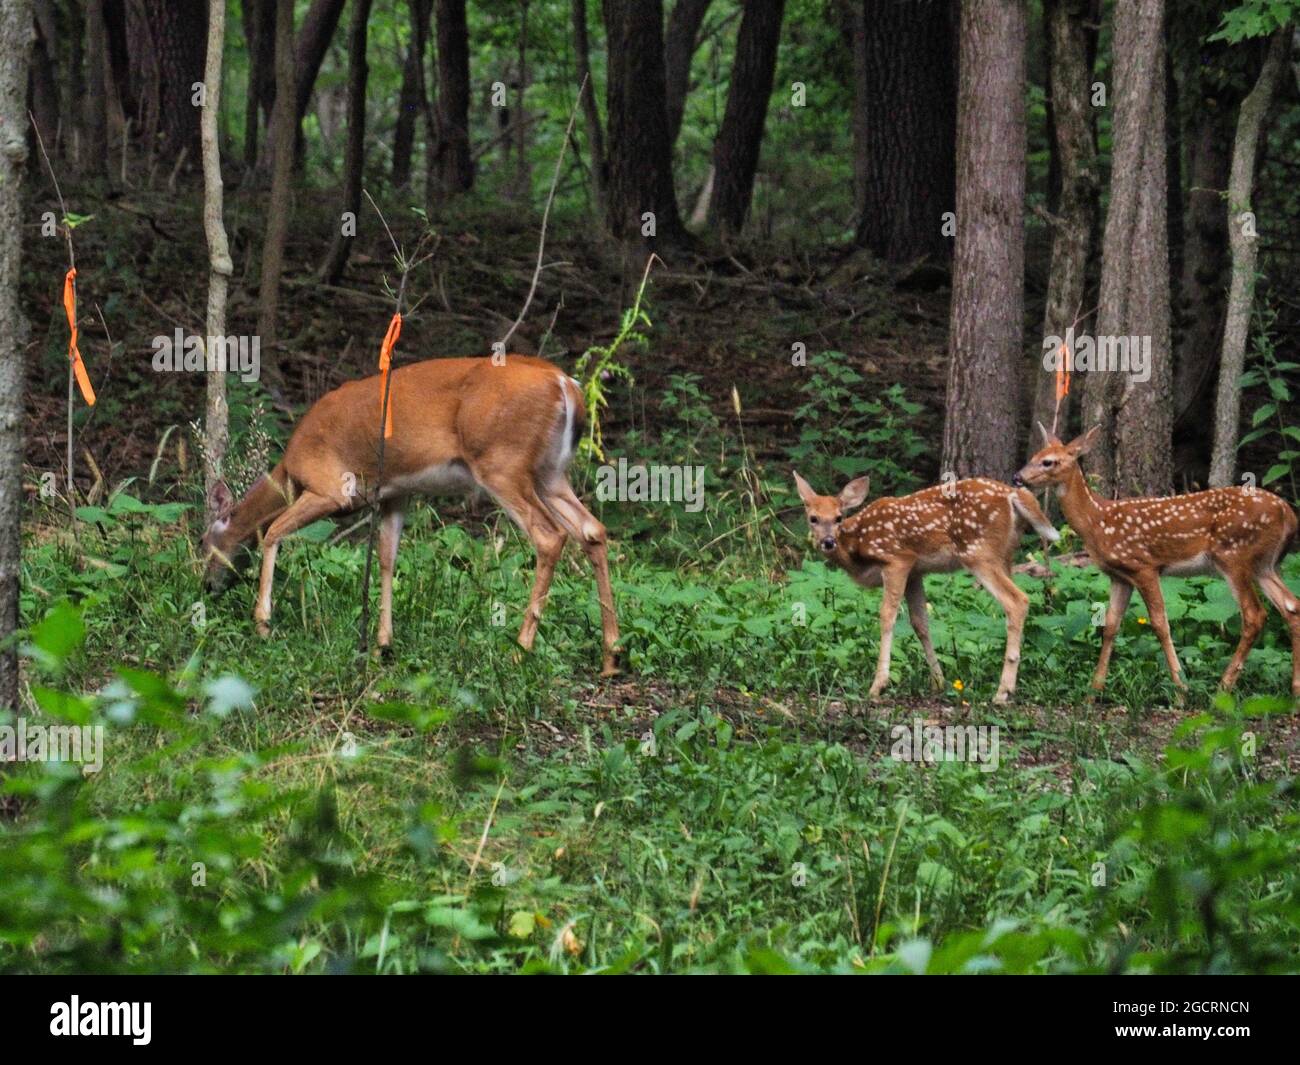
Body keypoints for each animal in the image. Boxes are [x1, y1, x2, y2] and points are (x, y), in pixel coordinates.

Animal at [200, 356, 621, 676]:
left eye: (204, 542)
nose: (205, 585)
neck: (289, 470)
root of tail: (566, 385)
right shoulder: (395, 494)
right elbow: (387, 558)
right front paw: (383, 644)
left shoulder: (331, 488)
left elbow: (272, 531)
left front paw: (262, 623)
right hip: (550, 473)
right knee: (593, 530)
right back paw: (611, 656)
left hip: (502, 463)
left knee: (550, 537)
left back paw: (520, 649)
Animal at [790, 473, 1055, 702]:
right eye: (813, 518)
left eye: (838, 517)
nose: (828, 542)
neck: (858, 547)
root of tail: (1013, 494)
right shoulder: (916, 573)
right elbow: (920, 624)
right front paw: (939, 682)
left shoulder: (897, 559)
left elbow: (887, 615)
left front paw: (878, 685)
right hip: (1005, 555)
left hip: (978, 552)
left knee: (1017, 600)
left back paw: (1002, 692)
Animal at [1013, 423, 1300, 702]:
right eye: (1033, 457)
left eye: (1048, 462)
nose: (1017, 477)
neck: (1097, 521)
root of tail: (1288, 512)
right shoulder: (1119, 575)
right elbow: (1111, 626)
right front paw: (1093, 693)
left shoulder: (1144, 566)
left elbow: (1160, 624)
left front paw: (1181, 690)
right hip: (1265, 565)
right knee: (1291, 606)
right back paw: (1294, 691)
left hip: (1234, 556)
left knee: (1254, 615)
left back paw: (1223, 688)